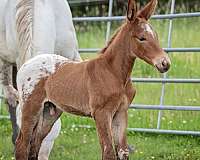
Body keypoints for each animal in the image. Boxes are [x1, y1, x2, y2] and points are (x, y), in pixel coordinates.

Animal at [14, 0, 170, 159]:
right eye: (141, 38)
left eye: (155, 36)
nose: (165, 63)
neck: (113, 73)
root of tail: (26, 64)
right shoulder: (101, 114)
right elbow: (108, 152)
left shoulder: (121, 112)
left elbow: (122, 151)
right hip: (31, 108)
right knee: (22, 144)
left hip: (50, 112)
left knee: (35, 144)